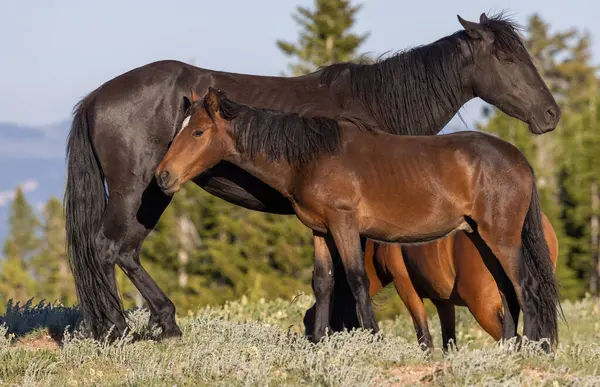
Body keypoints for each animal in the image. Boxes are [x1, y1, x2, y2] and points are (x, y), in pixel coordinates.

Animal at [304, 212, 556, 352]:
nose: (311, 342)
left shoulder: (406, 287)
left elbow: (424, 336)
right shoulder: (443, 301)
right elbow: (449, 342)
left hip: (482, 308)